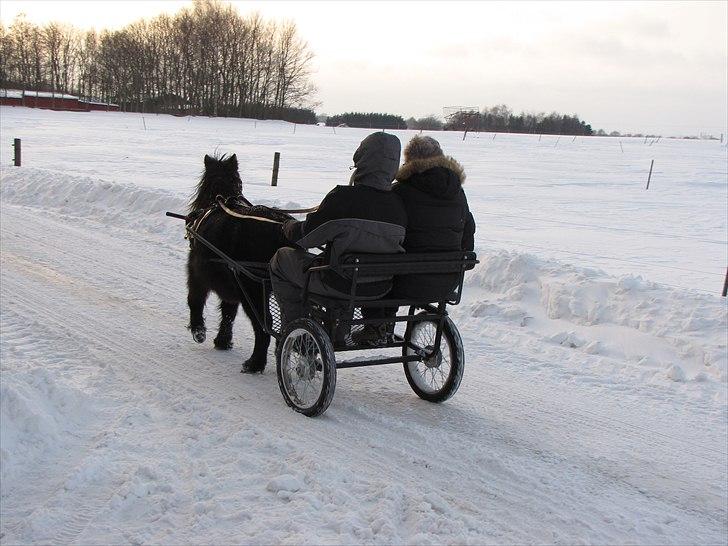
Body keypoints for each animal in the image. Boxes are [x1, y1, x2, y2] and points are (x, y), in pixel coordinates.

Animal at [188, 155, 292, 372]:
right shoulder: (230, 283)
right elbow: (228, 312)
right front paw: (223, 341)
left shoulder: (196, 272)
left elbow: (195, 299)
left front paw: (198, 331)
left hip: (253, 289)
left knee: (264, 326)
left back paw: (255, 363)